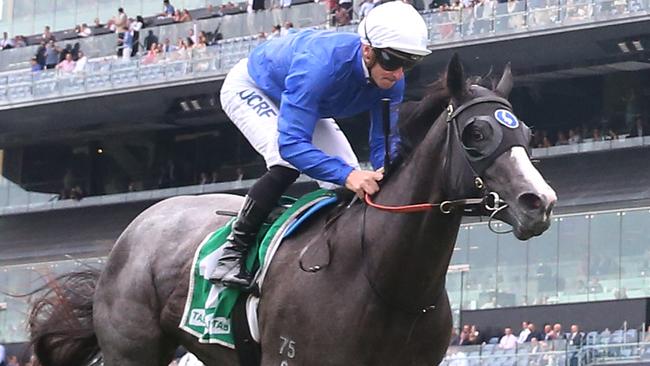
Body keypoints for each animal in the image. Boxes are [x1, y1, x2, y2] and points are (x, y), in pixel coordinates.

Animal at [30, 55, 556, 366]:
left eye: (527, 132)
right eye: (476, 133)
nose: (540, 202)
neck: (382, 278)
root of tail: (136, 228)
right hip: (132, 350)